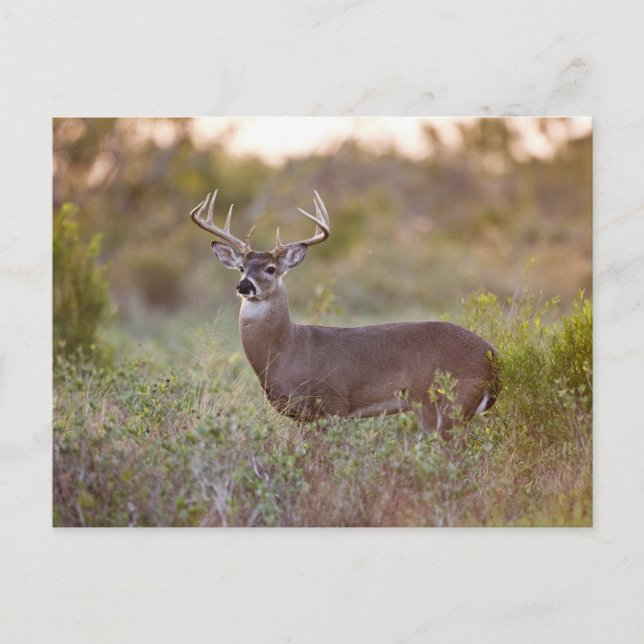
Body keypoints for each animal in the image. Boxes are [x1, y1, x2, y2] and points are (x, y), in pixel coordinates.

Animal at [190, 189, 500, 433]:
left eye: (270, 269)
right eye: (242, 267)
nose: (244, 285)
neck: (286, 350)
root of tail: (493, 356)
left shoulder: (331, 405)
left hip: (445, 404)